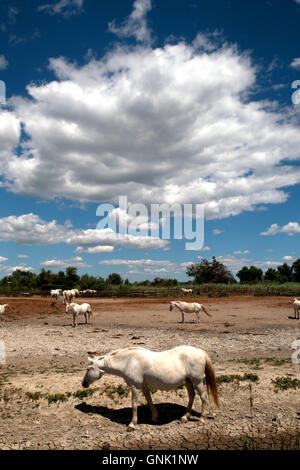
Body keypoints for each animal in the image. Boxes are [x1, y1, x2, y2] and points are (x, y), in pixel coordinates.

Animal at [81, 346, 219, 430]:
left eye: (88, 369)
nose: (83, 383)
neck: (128, 361)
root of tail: (200, 352)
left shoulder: (135, 387)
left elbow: (134, 404)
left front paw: (132, 424)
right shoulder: (144, 387)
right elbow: (149, 401)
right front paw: (155, 417)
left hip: (197, 381)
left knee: (203, 397)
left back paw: (201, 420)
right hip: (188, 380)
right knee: (191, 396)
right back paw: (185, 417)